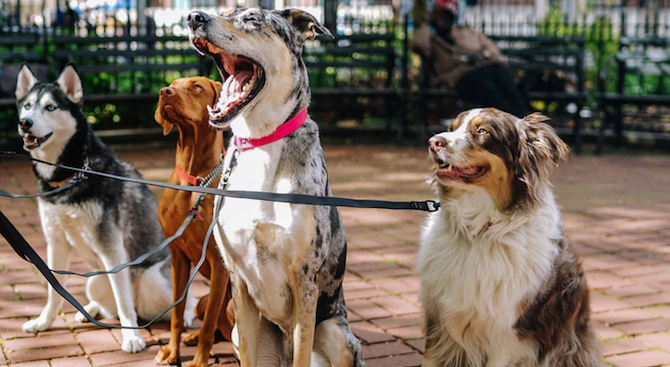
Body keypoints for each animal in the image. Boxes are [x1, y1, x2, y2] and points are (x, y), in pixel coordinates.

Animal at [15, 65, 197, 354]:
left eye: (51, 107)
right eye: (27, 106)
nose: (25, 123)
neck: (72, 174)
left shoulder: (112, 247)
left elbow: (123, 301)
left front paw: (131, 337)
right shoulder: (56, 243)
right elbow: (54, 290)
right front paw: (44, 322)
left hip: (152, 280)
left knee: (182, 300)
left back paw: (185, 315)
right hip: (94, 281)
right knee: (111, 305)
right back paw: (89, 310)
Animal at [155, 76, 236, 366]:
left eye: (196, 87)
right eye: (172, 84)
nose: (163, 92)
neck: (195, 180)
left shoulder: (219, 264)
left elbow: (209, 324)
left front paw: (199, 361)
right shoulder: (177, 255)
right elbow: (177, 315)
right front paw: (172, 351)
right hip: (201, 301)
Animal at [189, 8, 364, 367]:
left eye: (253, 19)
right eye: (224, 11)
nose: (194, 16)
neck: (261, 141)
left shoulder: (304, 281)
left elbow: (302, 351)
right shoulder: (238, 282)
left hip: (336, 334)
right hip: (240, 333)